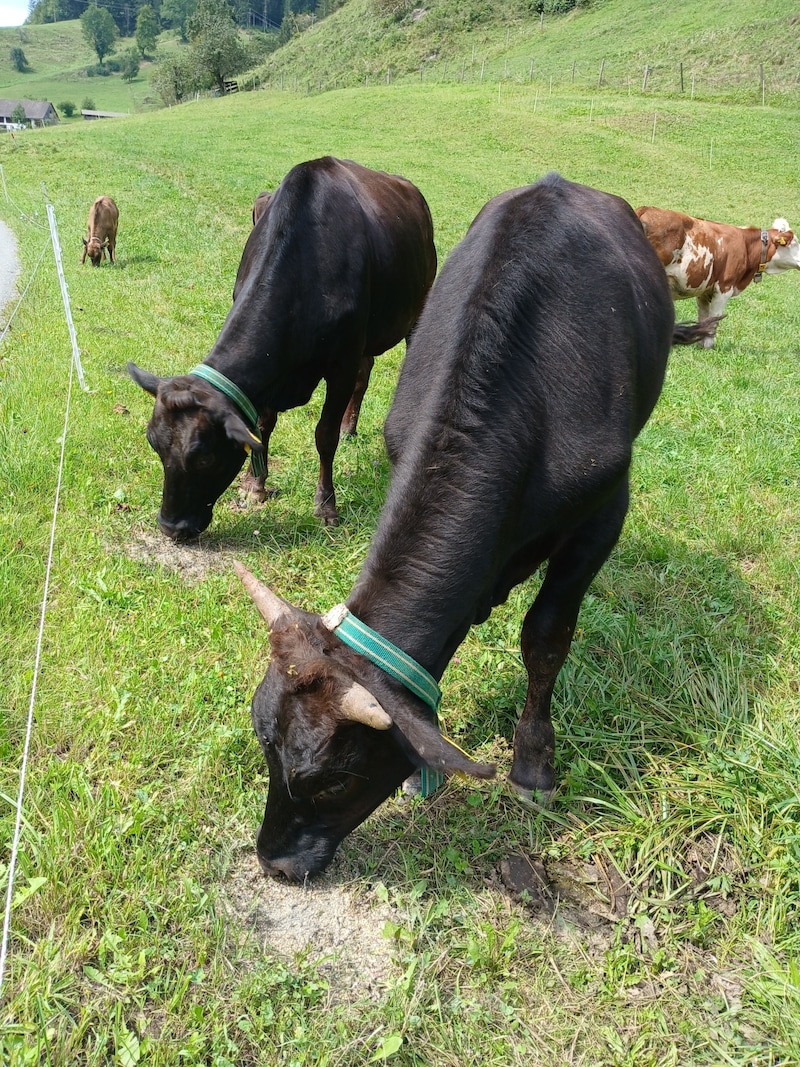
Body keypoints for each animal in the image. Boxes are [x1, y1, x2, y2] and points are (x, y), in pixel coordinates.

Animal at [129, 155, 439, 542]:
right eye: (154, 444)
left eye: (205, 457)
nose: (170, 527)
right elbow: (262, 426)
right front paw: (255, 486)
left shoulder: (340, 363)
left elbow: (324, 435)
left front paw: (326, 506)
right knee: (365, 372)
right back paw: (350, 427)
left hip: (418, 305)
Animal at [234, 170, 716, 879]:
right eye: (262, 739)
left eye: (334, 779)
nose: (275, 862)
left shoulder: (602, 516)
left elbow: (546, 636)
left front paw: (533, 764)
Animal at [635, 203, 797, 345]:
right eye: (794, 242)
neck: (745, 245)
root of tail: (646, 209)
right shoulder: (724, 288)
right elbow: (714, 321)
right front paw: (709, 347)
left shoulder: (704, 291)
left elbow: (704, 319)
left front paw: (700, 345)